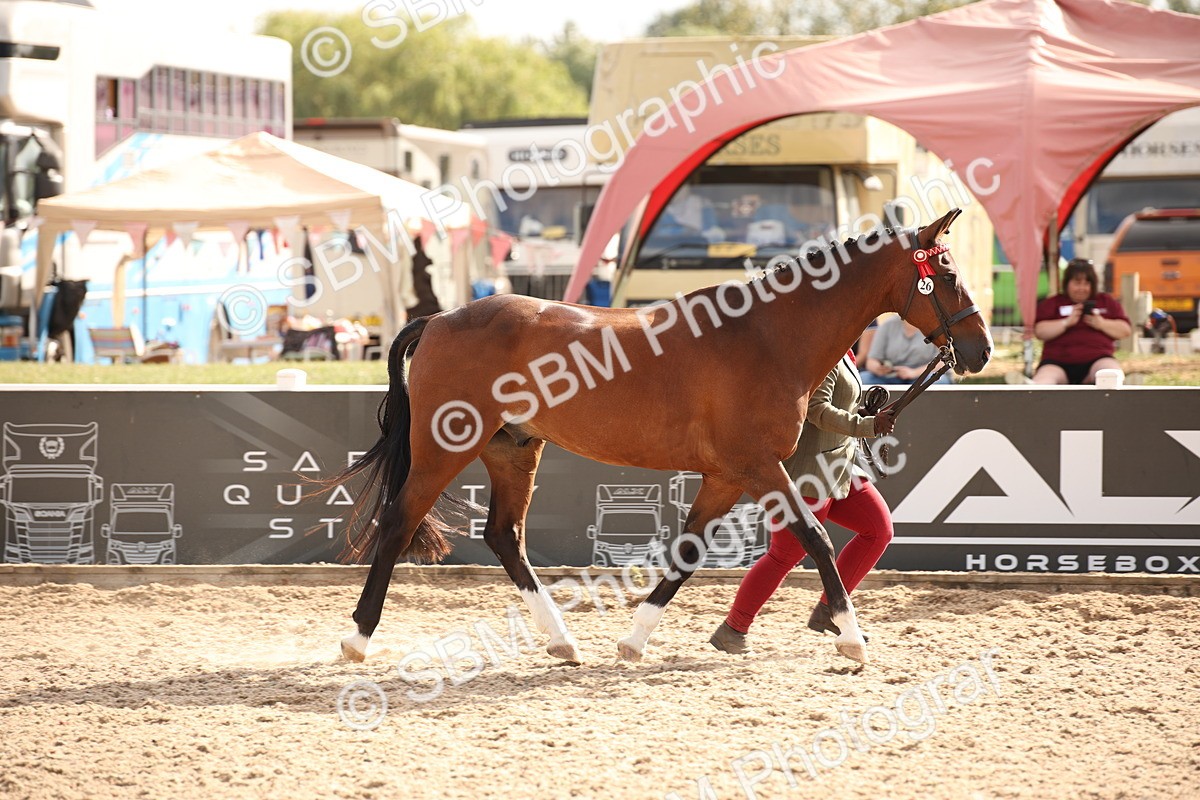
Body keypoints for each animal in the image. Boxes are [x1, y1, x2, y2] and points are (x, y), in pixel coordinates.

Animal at [330, 207, 991, 667]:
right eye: (948, 273)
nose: (980, 349)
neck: (767, 336)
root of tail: (440, 318)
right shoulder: (759, 467)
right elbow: (817, 541)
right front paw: (852, 641)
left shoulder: (726, 477)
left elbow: (687, 554)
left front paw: (633, 641)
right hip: (445, 448)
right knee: (399, 522)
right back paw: (357, 639)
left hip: (513, 449)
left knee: (504, 537)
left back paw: (564, 643)